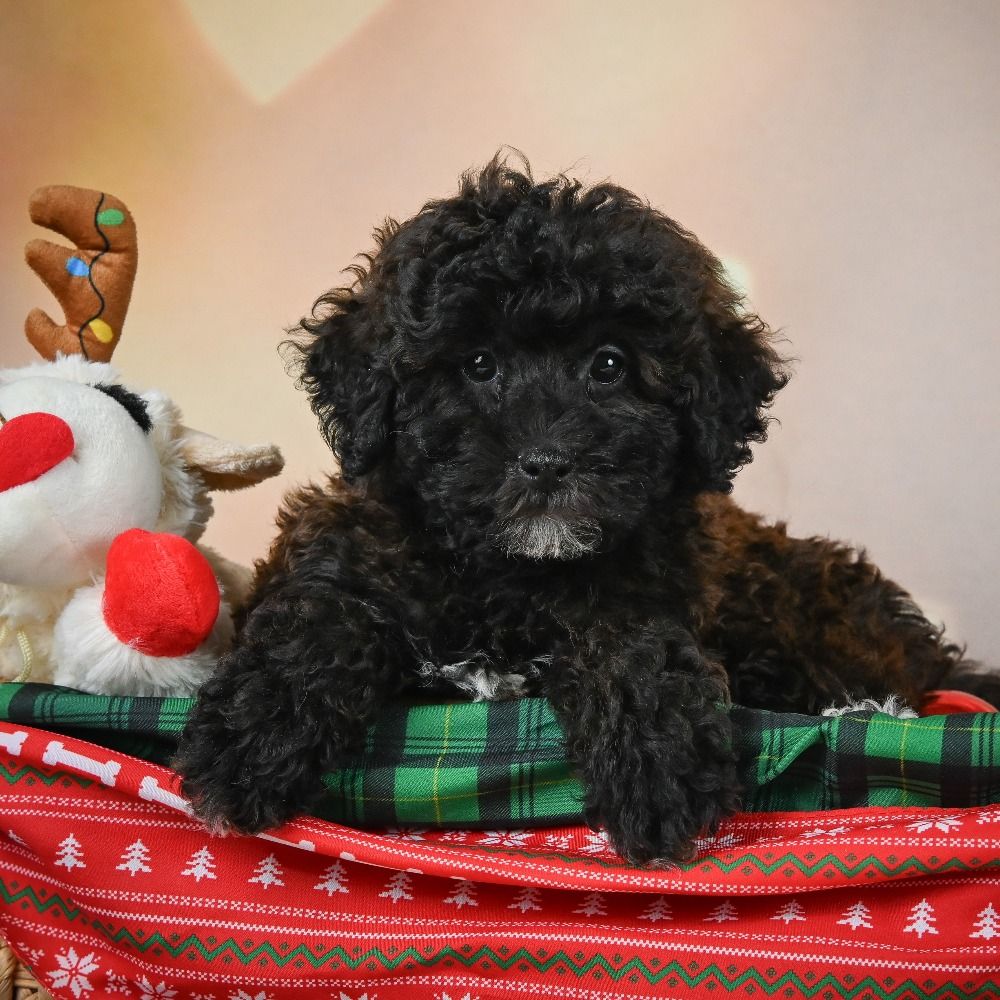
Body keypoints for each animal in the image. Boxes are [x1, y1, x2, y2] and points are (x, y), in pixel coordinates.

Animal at [174, 156, 968, 868]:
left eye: (610, 365)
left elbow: (630, 644)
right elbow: (320, 615)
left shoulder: (649, 587)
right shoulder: (351, 546)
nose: (548, 461)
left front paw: (657, 766)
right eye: (479, 364)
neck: (506, 574)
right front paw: (251, 737)